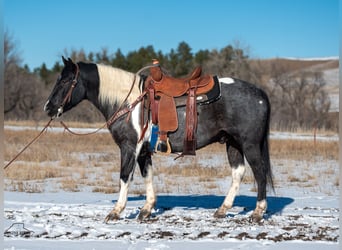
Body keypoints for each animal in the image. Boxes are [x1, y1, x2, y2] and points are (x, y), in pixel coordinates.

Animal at [44, 57, 272, 223]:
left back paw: (257, 213)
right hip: (233, 143)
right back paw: (222, 210)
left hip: (250, 144)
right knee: (238, 173)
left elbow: (124, 177)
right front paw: (146, 209)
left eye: (65, 81)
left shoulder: (129, 147)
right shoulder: (143, 151)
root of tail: (261, 94)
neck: (129, 102)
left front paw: (115, 212)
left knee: (260, 173)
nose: (48, 108)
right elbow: (148, 176)